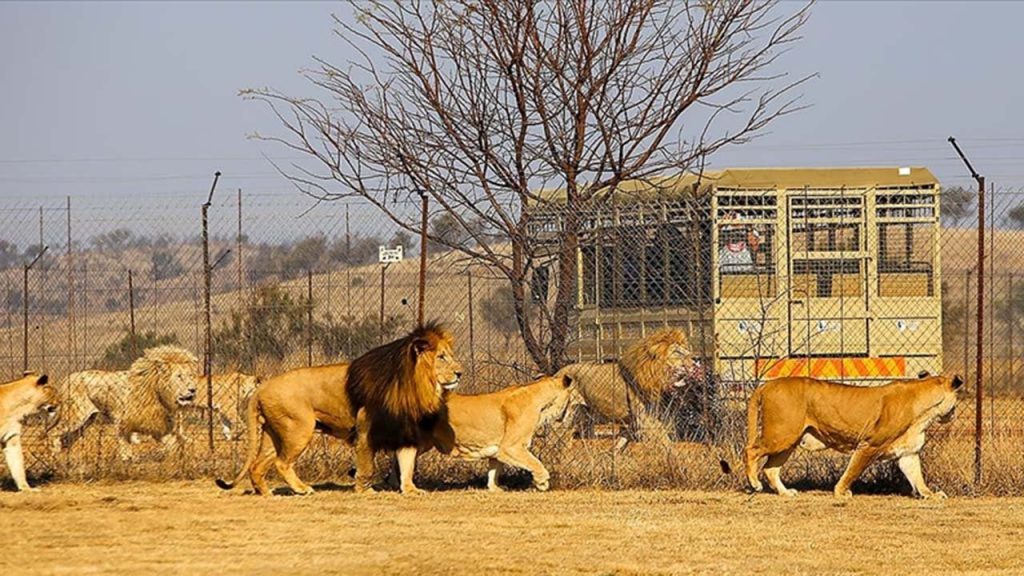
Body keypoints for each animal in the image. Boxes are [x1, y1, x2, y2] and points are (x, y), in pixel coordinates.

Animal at [52, 342, 200, 459]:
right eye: (179, 376)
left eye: (190, 375)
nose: (193, 390)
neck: (157, 392)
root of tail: (68, 378)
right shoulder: (122, 420)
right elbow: (124, 441)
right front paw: (127, 458)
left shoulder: (159, 426)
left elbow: (174, 443)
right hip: (75, 416)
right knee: (55, 431)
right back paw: (55, 453)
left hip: (87, 421)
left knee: (68, 439)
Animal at [428, 373, 577, 487]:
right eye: (572, 397)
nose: (572, 412)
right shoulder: (510, 447)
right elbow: (535, 462)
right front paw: (542, 482)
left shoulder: (497, 449)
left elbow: (494, 470)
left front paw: (494, 488)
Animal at [557, 327, 700, 444]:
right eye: (677, 352)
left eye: (687, 350)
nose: (698, 358)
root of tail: (558, 372)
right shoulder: (646, 422)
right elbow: (669, 446)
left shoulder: (633, 425)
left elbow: (620, 445)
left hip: (585, 418)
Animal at [745, 373, 958, 498]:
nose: (953, 414)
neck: (925, 414)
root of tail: (766, 385)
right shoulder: (870, 445)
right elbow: (853, 470)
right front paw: (841, 492)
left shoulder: (908, 453)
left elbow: (917, 477)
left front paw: (931, 495)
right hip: (782, 435)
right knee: (751, 450)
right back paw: (755, 484)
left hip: (789, 441)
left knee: (770, 469)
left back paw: (785, 493)